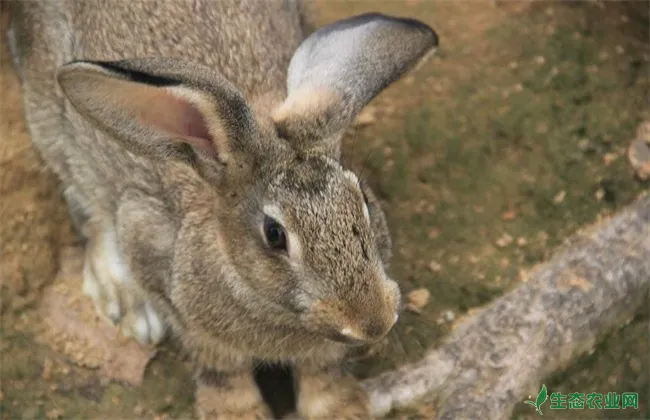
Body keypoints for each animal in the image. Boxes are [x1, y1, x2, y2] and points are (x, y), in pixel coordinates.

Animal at [6, 1, 436, 418]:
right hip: (55, 126)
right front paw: (234, 412)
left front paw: (342, 409)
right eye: (275, 235)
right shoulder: (174, 292)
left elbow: (322, 373)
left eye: (362, 200)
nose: (374, 323)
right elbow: (223, 372)